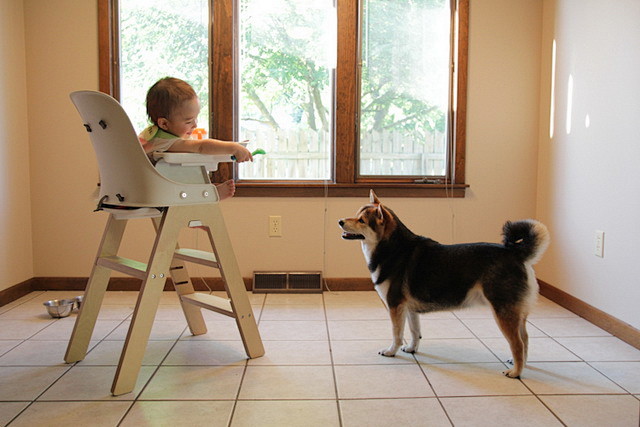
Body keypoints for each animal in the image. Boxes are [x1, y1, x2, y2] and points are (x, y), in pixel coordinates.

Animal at [338, 191, 552, 378]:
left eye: (361, 220)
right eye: (356, 215)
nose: (340, 221)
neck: (391, 248)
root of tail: (517, 254)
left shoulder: (395, 306)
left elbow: (397, 334)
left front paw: (391, 351)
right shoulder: (409, 308)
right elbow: (415, 332)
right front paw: (412, 349)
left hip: (503, 312)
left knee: (517, 343)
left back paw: (515, 372)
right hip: (516, 312)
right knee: (525, 339)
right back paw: (519, 363)